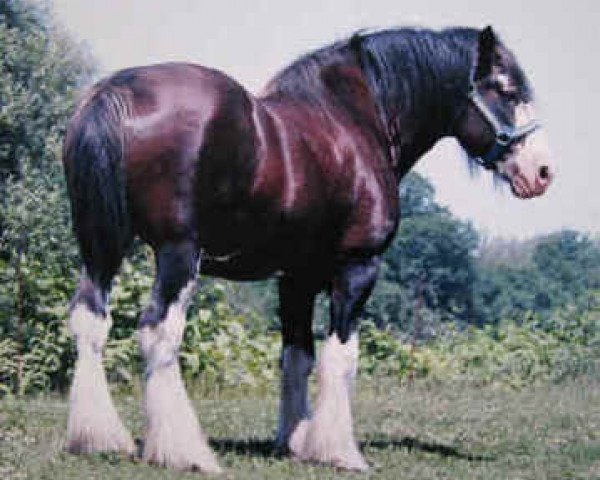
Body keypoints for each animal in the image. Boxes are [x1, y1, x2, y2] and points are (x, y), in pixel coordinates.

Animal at [61, 25, 552, 472]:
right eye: (505, 90)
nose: (543, 172)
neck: (358, 119)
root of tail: (118, 92)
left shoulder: (296, 278)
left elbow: (297, 357)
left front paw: (294, 442)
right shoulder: (357, 267)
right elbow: (341, 357)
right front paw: (338, 451)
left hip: (100, 247)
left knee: (91, 321)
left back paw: (97, 437)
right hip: (178, 253)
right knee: (158, 332)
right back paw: (185, 452)